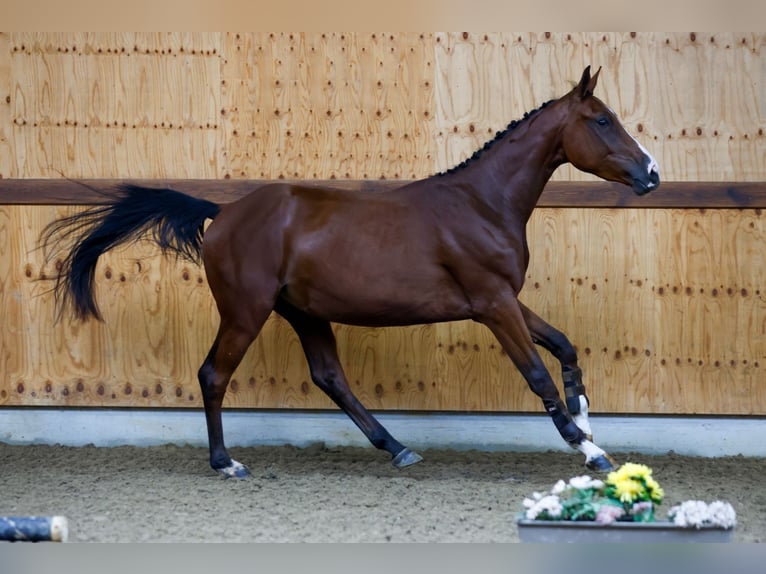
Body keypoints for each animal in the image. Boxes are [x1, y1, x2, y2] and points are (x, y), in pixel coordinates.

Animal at [42, 67, 660, 480]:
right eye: (602, 119)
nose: (651, 173)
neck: (481, 203)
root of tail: (224, 213)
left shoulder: (506, 299)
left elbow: (565, 347)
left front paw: (589, 424)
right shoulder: (492, 304)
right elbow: (538, 374)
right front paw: (590, 450)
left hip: (303, 312)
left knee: (329, 377)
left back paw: (398, 447)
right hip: (247, 311)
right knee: (214, 374)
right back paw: (226, 463)